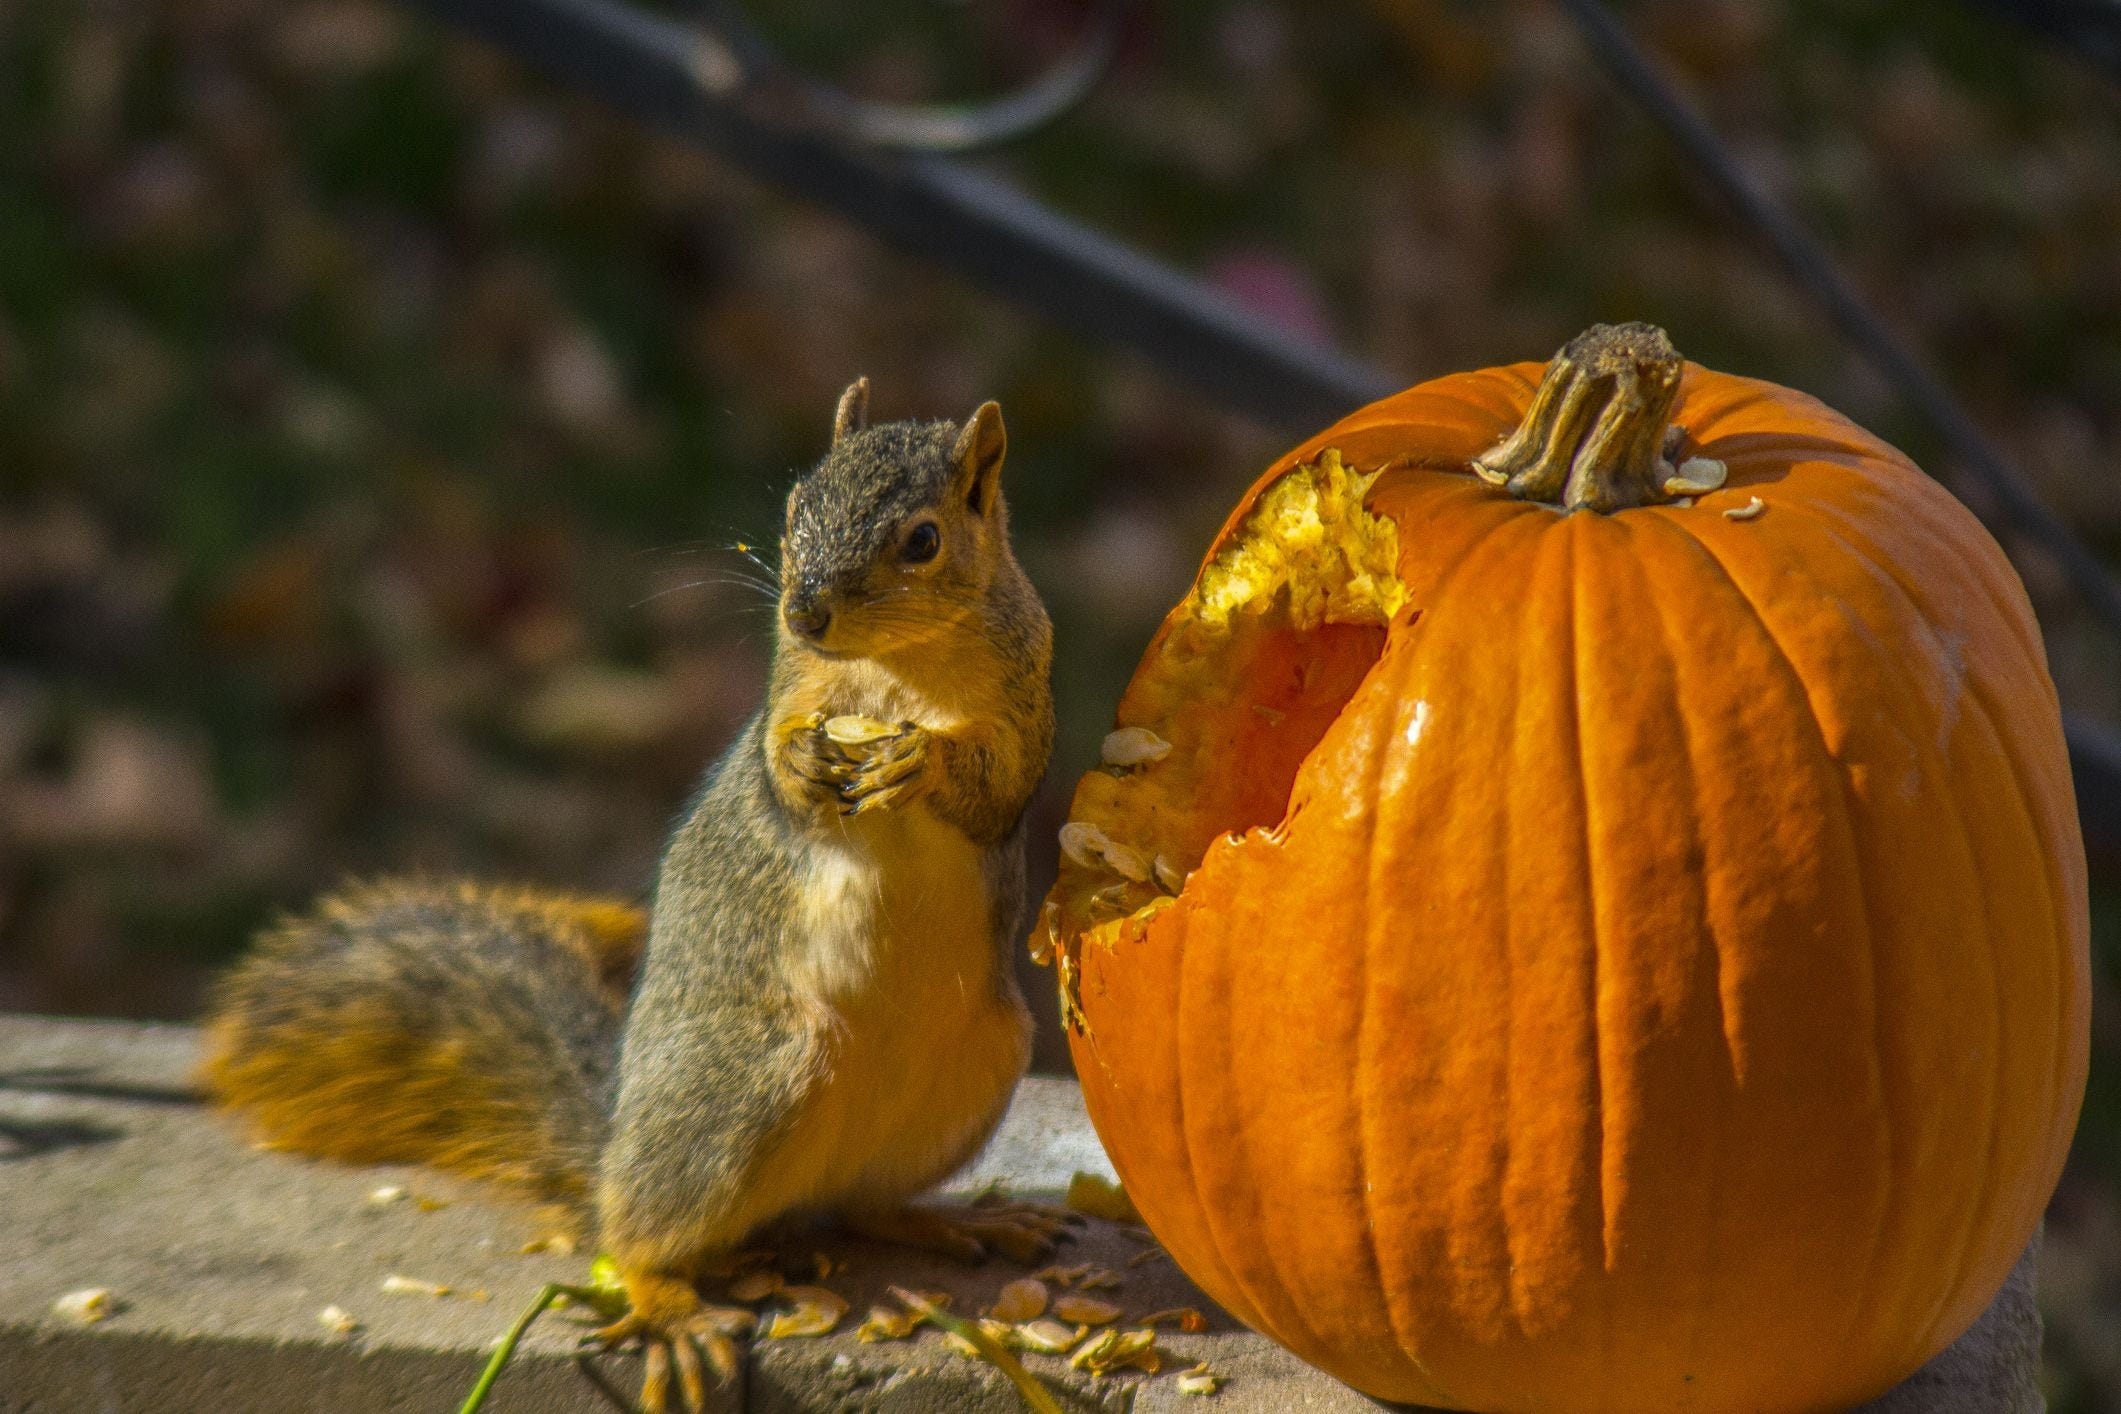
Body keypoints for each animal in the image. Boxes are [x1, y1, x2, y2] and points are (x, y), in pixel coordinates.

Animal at [199, 379, 1060, 1414]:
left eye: (923, 540)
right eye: (793, 507)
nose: (805, 611)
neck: (900, 670)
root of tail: (612, 1138)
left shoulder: (1026, 695)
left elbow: (995, 790)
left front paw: (921, 760)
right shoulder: (788, 686)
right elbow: (776, 768)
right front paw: (800, 764)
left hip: (976, 1063)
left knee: (859, 1204)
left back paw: (944, 1223)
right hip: (749, 1076)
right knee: (636, 1234)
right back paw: (668, 1306)